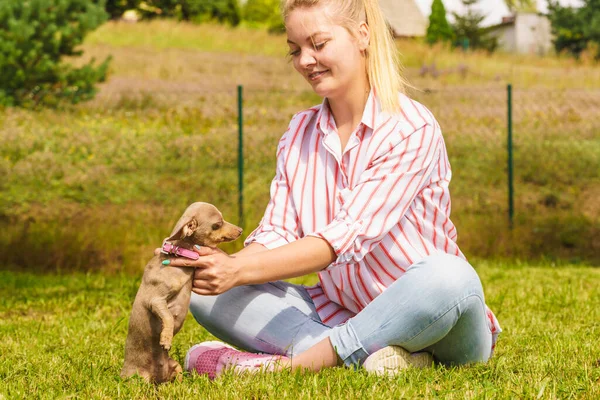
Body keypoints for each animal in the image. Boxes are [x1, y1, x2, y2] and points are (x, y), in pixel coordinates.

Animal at [120, 203, 243, 384]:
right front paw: (166, 338)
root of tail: (157, 379)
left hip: (174, 365)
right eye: (217, 224)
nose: (241, 230)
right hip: (138, 378)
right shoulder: (155, 300)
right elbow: (168, 317)